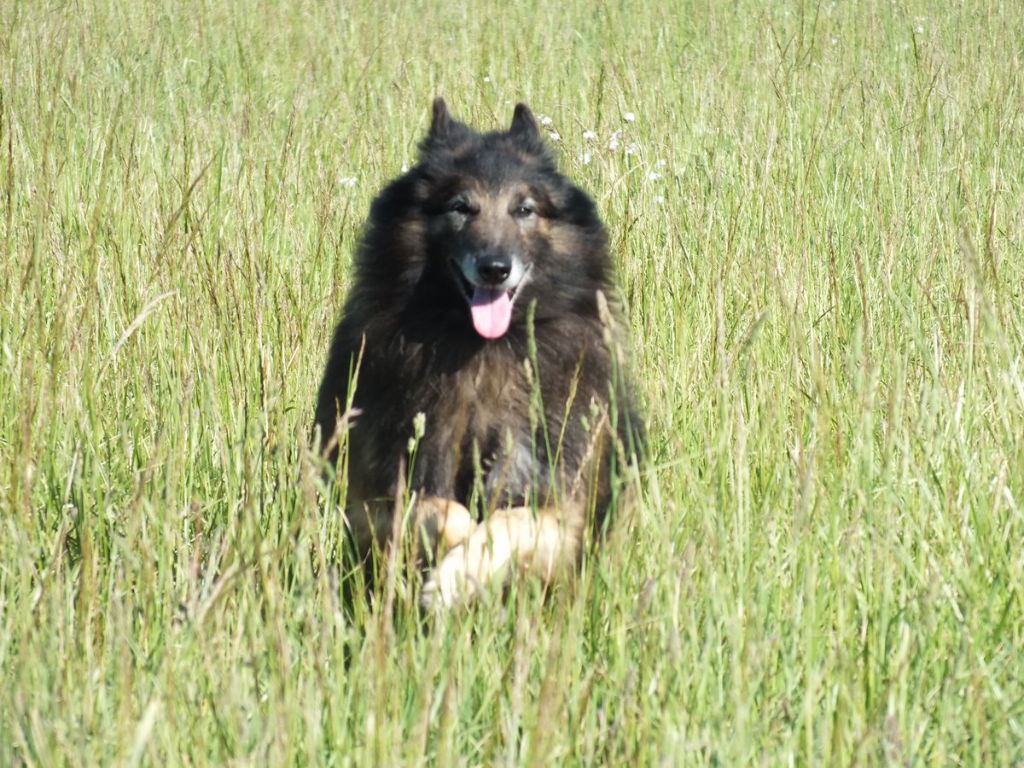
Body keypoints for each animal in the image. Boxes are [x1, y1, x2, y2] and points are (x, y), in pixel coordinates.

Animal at [315, 99, 643, 610]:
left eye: (524, 209)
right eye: (460, 208)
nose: (494, 269)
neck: (482, 350)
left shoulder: (559, 508)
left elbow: (509, 522)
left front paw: (458, 575)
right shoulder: (375, 496)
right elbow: (439, 511)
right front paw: (452, 560)